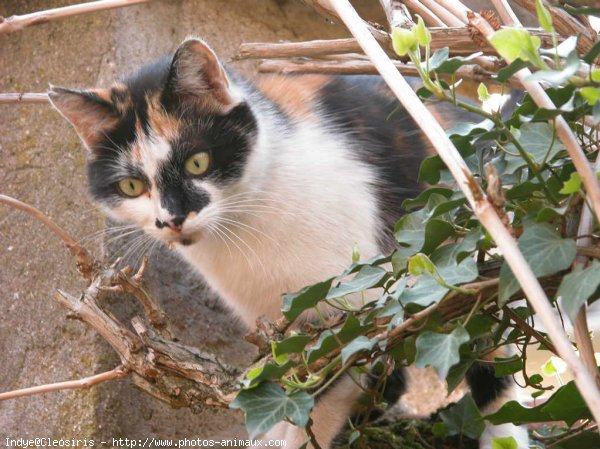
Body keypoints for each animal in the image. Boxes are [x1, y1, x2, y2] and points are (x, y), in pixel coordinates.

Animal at [49, 37, 528, 448]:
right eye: (132, 186)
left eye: (197, 162)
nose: (171, 219)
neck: (243, 231)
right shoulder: (280, 329)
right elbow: (283, 387)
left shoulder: (357, 309)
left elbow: (319, 396)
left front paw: (289, 439)